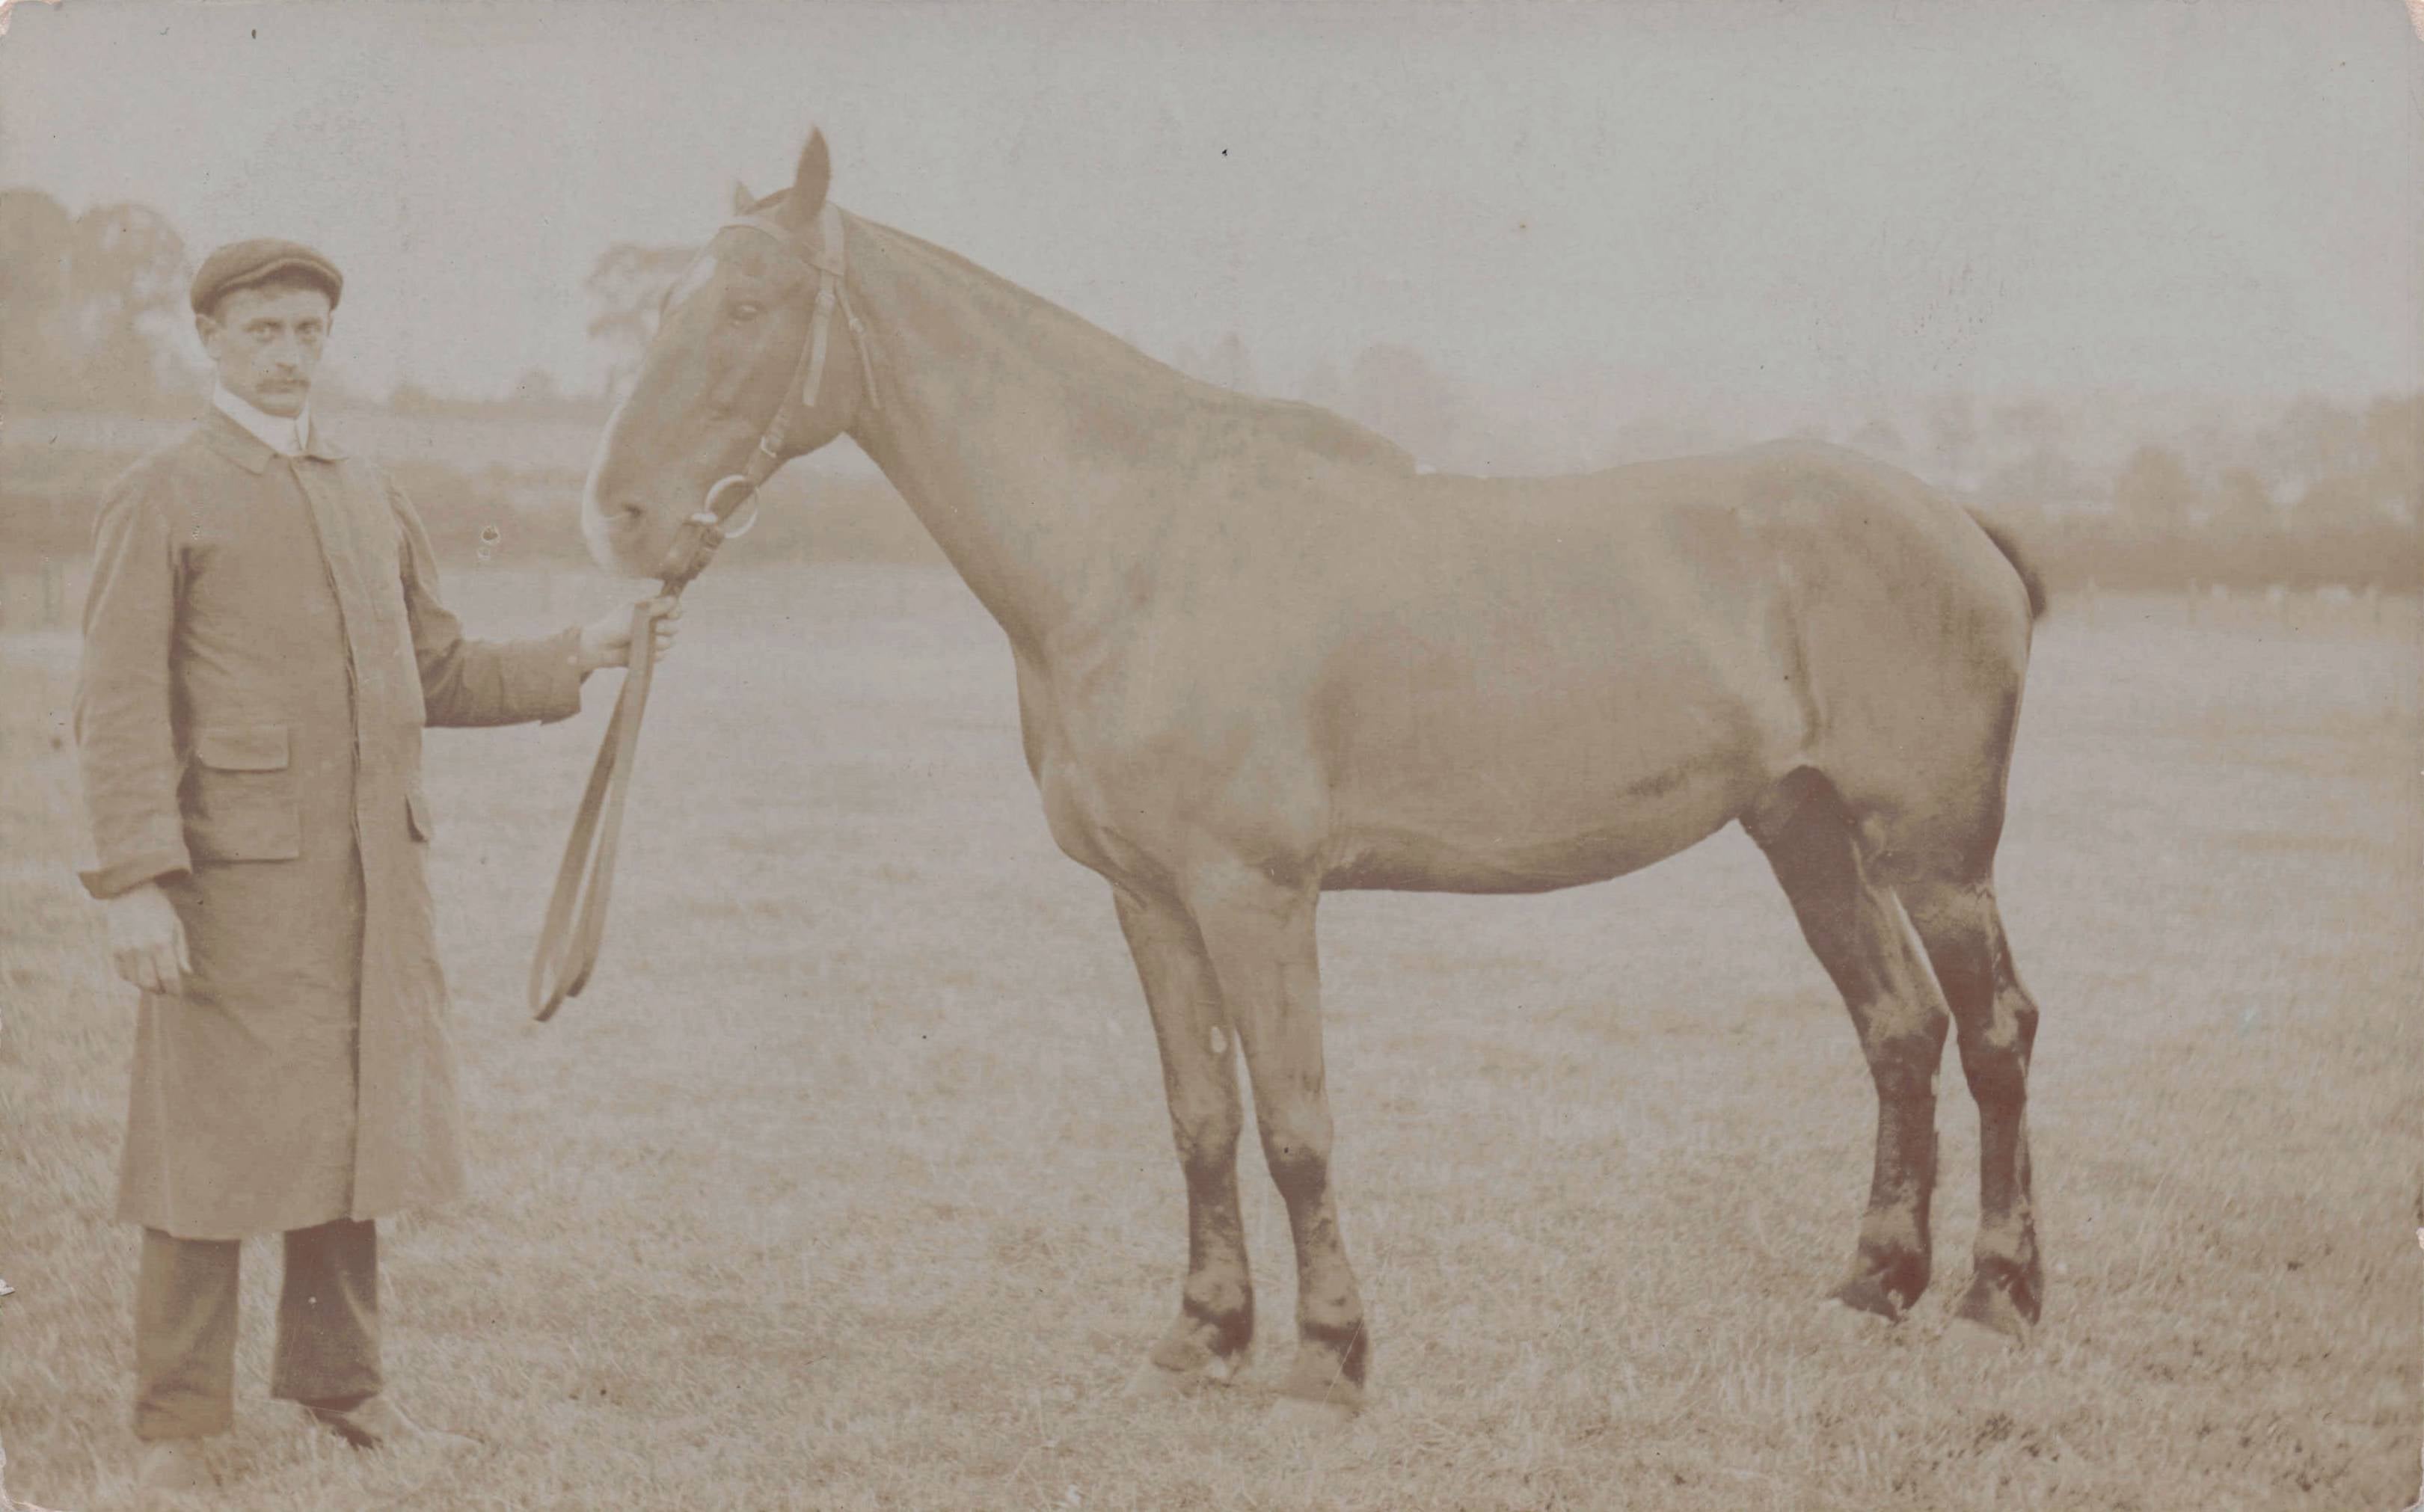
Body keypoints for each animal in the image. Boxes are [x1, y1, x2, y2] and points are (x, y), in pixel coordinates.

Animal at [581, 129, 2050, 1420]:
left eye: (751, 302)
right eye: (661, 303)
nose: (621, 517)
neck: (1139, 548)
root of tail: (1951, 513)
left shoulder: (1256, 898)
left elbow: (1295, 1123)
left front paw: (1326, 1358)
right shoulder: (1150, 901)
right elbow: (1201, 1118)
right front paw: (1203, 1335)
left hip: (1936, 852)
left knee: (1993, 1031)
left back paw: (1998, 1298)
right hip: (1808, 834)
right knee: (1898, 1029)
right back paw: (1876, 1284)